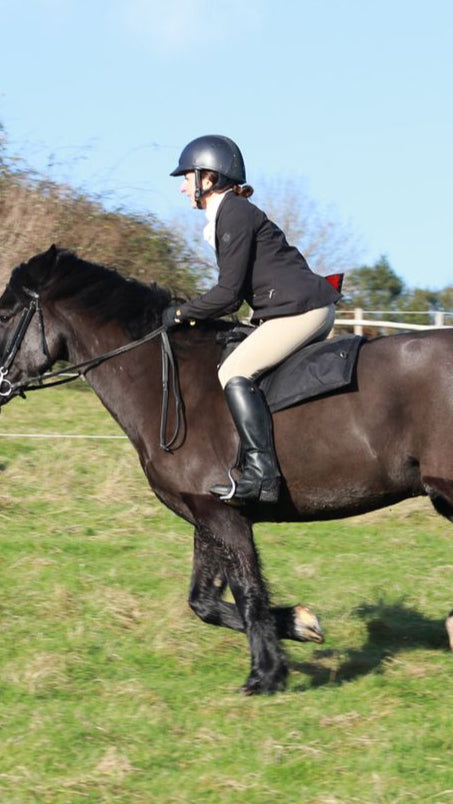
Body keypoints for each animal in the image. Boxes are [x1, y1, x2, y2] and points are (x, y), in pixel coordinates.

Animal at [0, 244, 452, 694]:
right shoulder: (206, 514)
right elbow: (204, 602)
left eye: (5, 315)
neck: (167, 385)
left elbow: (248, 591)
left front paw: (265, 675)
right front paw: (299, 624)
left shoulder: (225, 516)